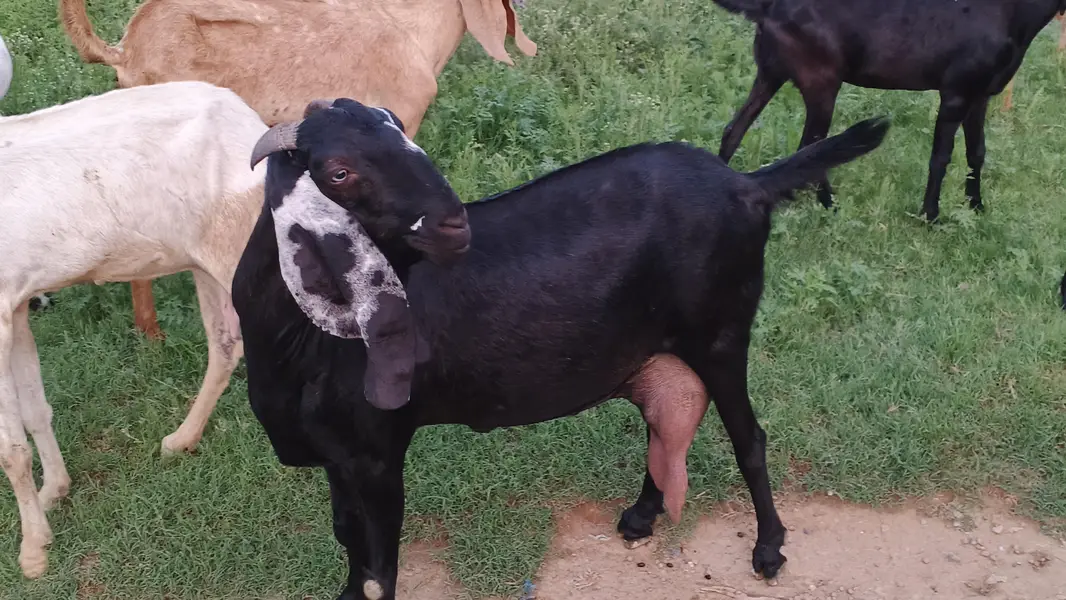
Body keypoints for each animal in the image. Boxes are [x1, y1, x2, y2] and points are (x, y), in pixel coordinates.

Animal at [0, 80, 268, 578]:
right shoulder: (18, 305)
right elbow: (36, 411)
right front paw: (53, 493)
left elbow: (11, 447)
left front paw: (33, 552)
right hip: (210, 259)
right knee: (227, 343)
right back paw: (180, 440)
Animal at [232, 97, 889, 599]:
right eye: (338, 171)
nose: (454, 225)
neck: (300, 344)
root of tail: (747, 184)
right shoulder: (336, 454)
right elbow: (349, 539)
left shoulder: (378, 451)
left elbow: (382, 562)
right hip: (663, 346)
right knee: (667, 424)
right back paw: (642, 517)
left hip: (722, 332)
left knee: (749, 438)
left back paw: (769, 550)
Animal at [712, 0, 1066, 222]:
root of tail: (769, 8)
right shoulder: (955, 93)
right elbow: (940, 157)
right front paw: (930, 216)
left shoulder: (980, 95)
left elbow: (976, 153)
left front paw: (976, 207)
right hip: (821, 82)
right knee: (811, 147)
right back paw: (829, 206)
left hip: (771, 72)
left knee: (734, 129)